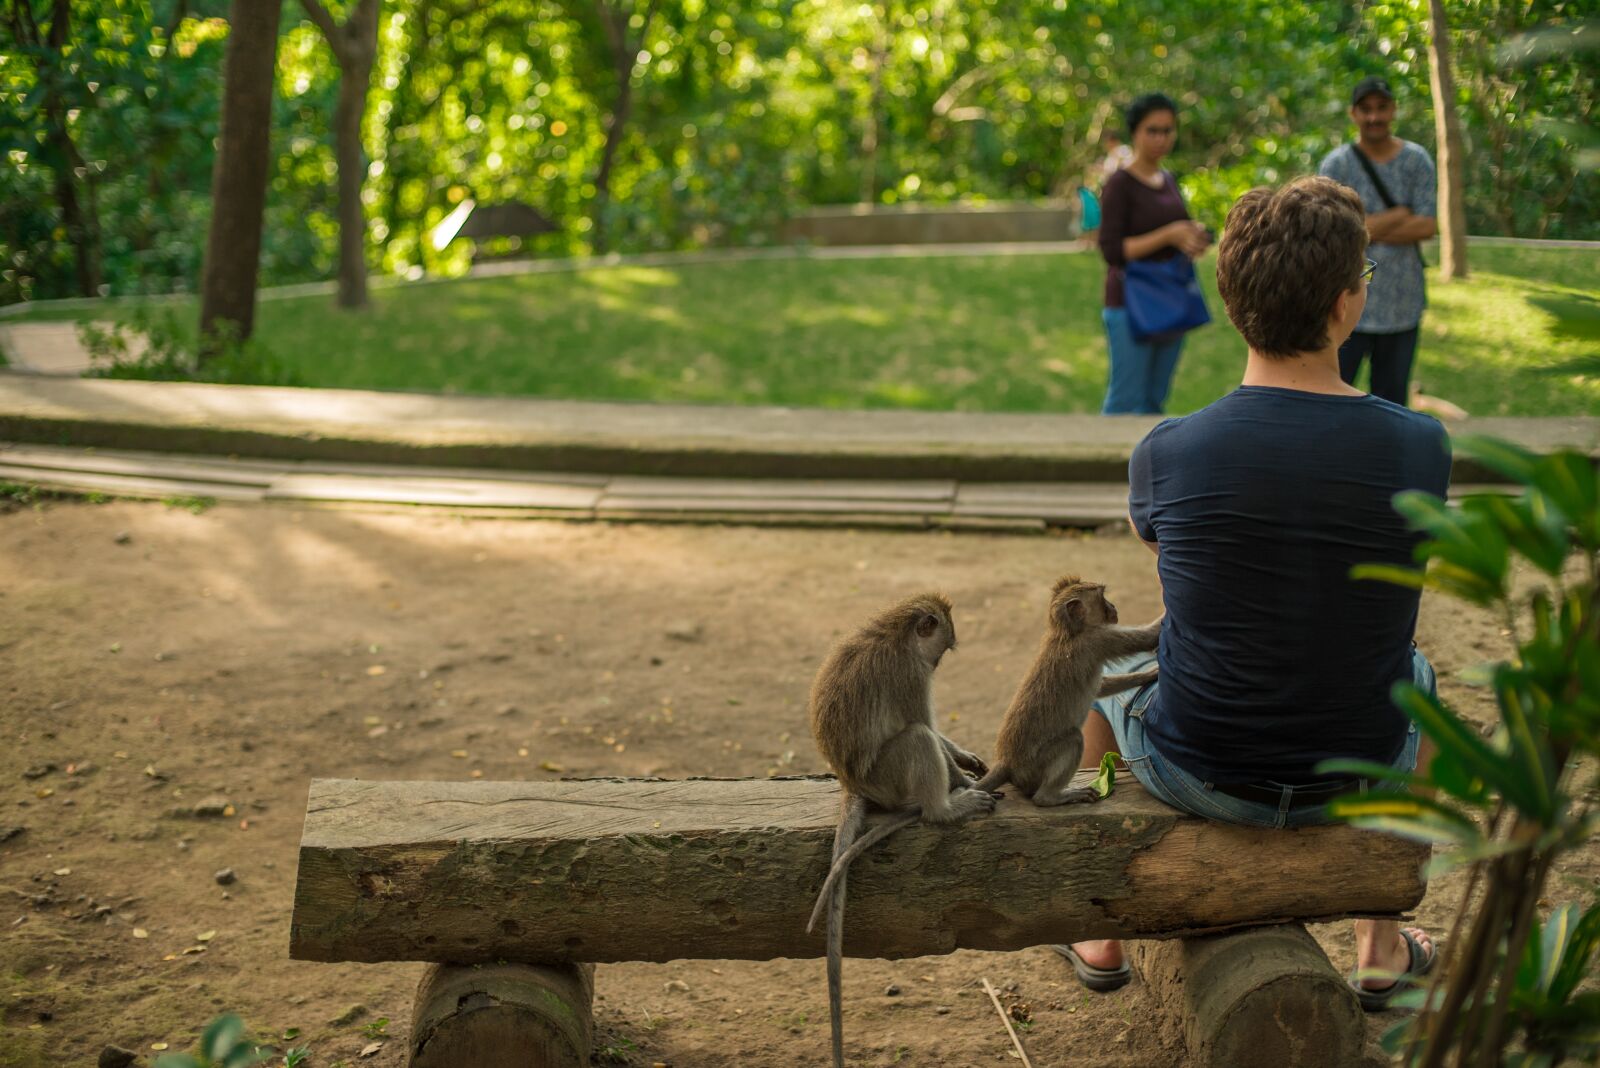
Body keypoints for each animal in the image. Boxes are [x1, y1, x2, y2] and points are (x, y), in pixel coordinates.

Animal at [805, 592, 998, 1068]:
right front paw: (963, 781)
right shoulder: (911, 674)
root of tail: (852, 784)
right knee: (915, 738)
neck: (894, 634)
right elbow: (923, 725)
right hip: (888, 778)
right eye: (941, 651)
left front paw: (966, 759)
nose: (937, 665)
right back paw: (944, 809)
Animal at [971, 575, 1162, 806]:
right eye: (1102, 598)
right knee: (1073, 740)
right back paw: (1050, 797)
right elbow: (1148, 637)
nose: (1113, 606)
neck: (1069, 633)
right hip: (1034, 766)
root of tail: (1007, 762)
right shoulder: (1099, 639)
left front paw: (1148, 675)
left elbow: (1099, 689)